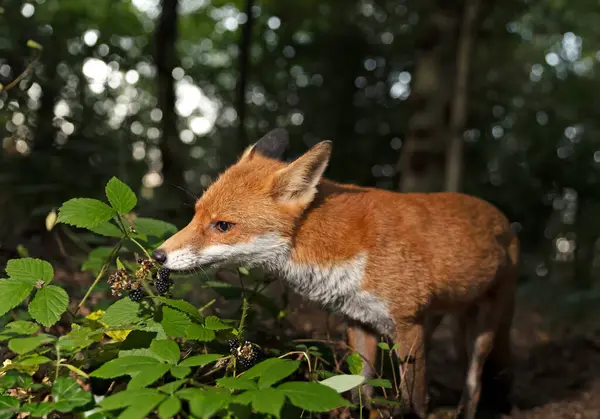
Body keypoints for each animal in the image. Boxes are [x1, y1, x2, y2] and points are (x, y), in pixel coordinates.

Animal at [152, 130, 516, 418]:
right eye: (195, 215)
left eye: (223, 226)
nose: (157, 255)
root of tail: (504, 219)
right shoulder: (360, 321)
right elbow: (360, 392)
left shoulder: (407, 324)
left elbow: (413, 403)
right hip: (439, 322)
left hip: (481, 331)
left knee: (475, 382)